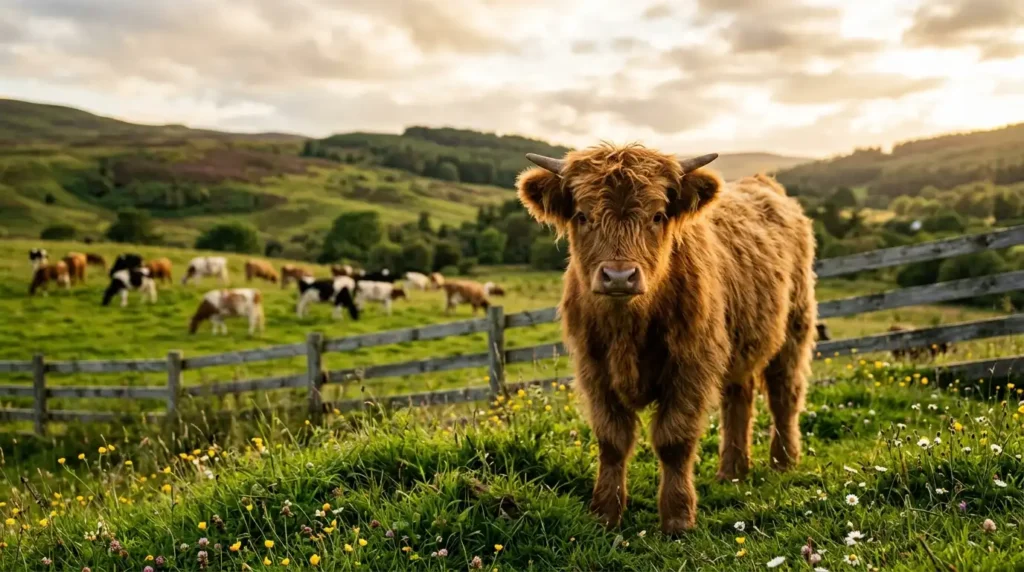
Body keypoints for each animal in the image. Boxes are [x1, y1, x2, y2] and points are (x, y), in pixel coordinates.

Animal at [516, 144, 816, 534]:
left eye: (657, 216)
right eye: (582, 215)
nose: (619, 276)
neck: (628, 328)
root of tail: (765, 184)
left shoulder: (691, 367)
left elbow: (674, 440)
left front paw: (677, 518)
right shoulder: (593, 370)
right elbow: (612, 440)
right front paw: (605, 514)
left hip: (794, 327)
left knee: (784, 394)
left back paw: (783, 461)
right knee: (739, 397)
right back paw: (732, 472)